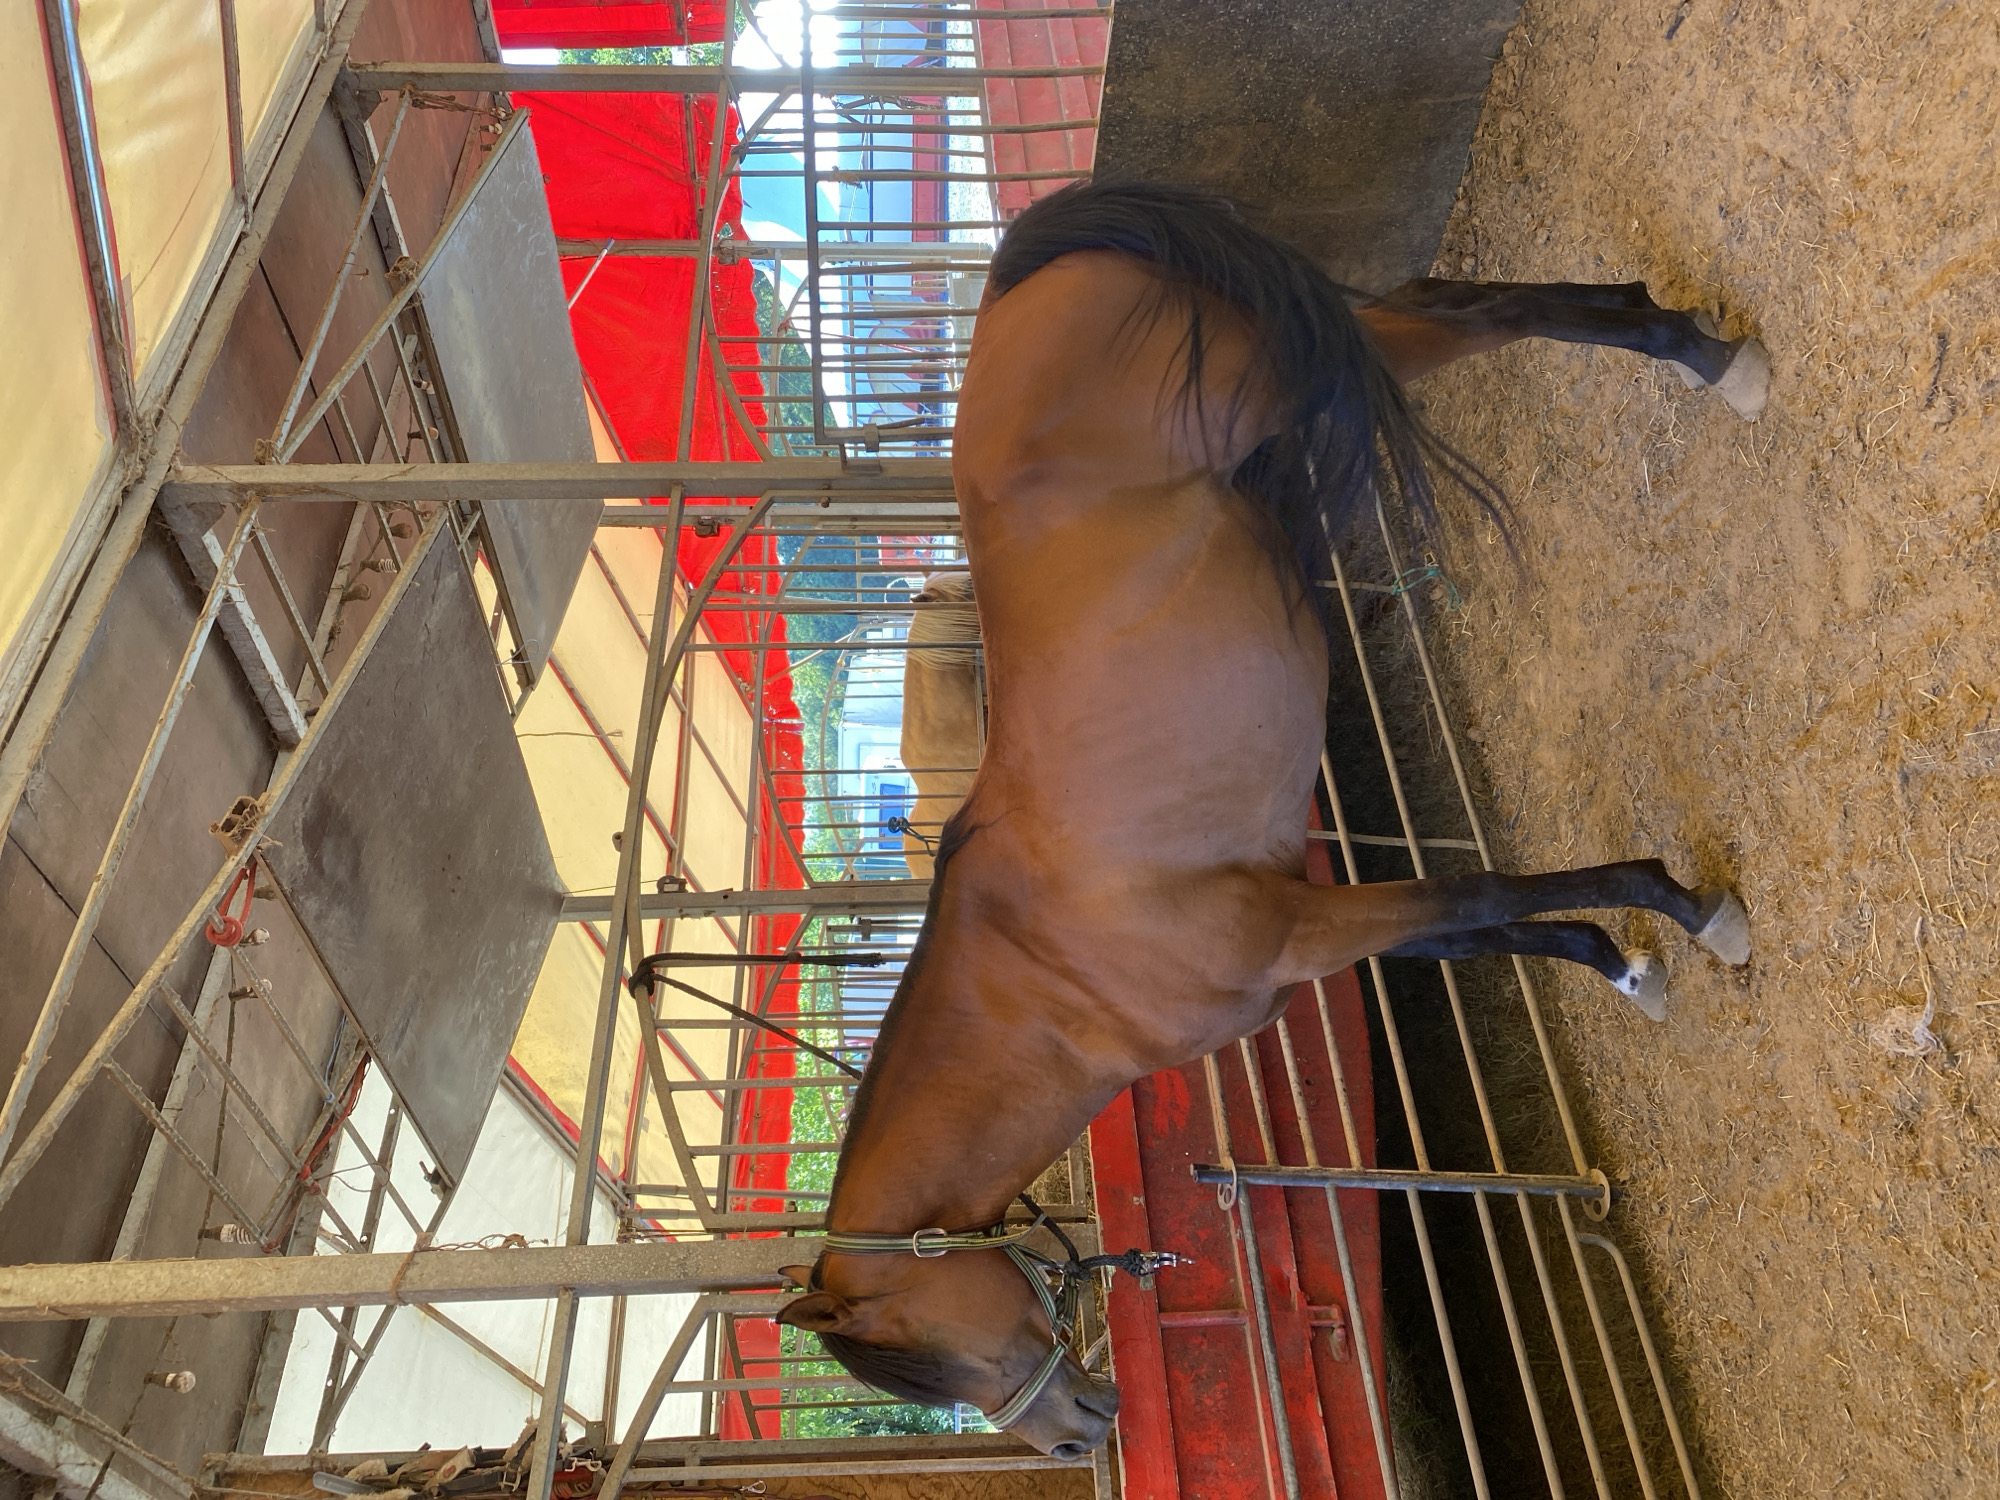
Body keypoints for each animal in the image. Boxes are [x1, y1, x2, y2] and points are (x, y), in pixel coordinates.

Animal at [776, 179, 1759, 1460]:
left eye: (922, 1347)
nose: (1079, 1432)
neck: (1044, 975)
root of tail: (1014, 284)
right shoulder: (1314, 918)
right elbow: (1476, 930)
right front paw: (1619, 961)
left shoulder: (1299, 924)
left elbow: (1480, 895)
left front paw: (1685, 909)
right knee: (1454, 303)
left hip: (1295, 374)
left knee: (1487, 315)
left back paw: (1710, 362)